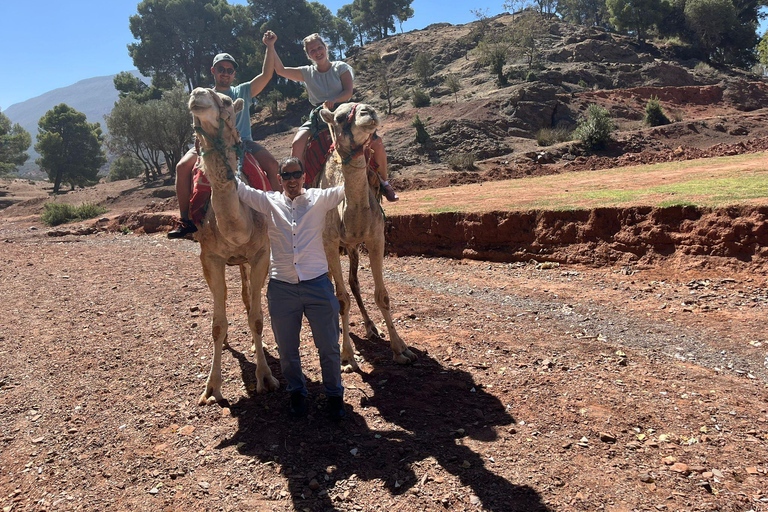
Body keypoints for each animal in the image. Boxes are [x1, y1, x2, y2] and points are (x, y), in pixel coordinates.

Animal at [188, 88, 280, 406]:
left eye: (226, 101)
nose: (197, 94)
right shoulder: (210, 258)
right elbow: (217, 324)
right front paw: (211, 388)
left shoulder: (261, 253)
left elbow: (257, 318)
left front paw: (266, 378)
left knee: (248, 297)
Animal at [314, 102, 416, 370]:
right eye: (340, 117)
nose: (368, 112)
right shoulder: (329, 242)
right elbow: (341, 299)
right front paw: (347, 357)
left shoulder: (375, 237)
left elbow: (382, 295)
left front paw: (400, 348)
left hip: (351, 247)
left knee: (354, 282)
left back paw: (370, 327)